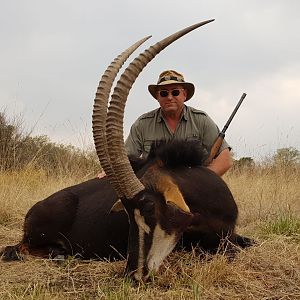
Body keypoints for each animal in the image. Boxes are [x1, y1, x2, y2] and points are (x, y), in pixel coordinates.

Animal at [0, 20, 253, 282]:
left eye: (150, 207)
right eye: (128, 215)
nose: (134, 274)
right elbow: (227, 250)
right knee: (16, 248)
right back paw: (59, 254)